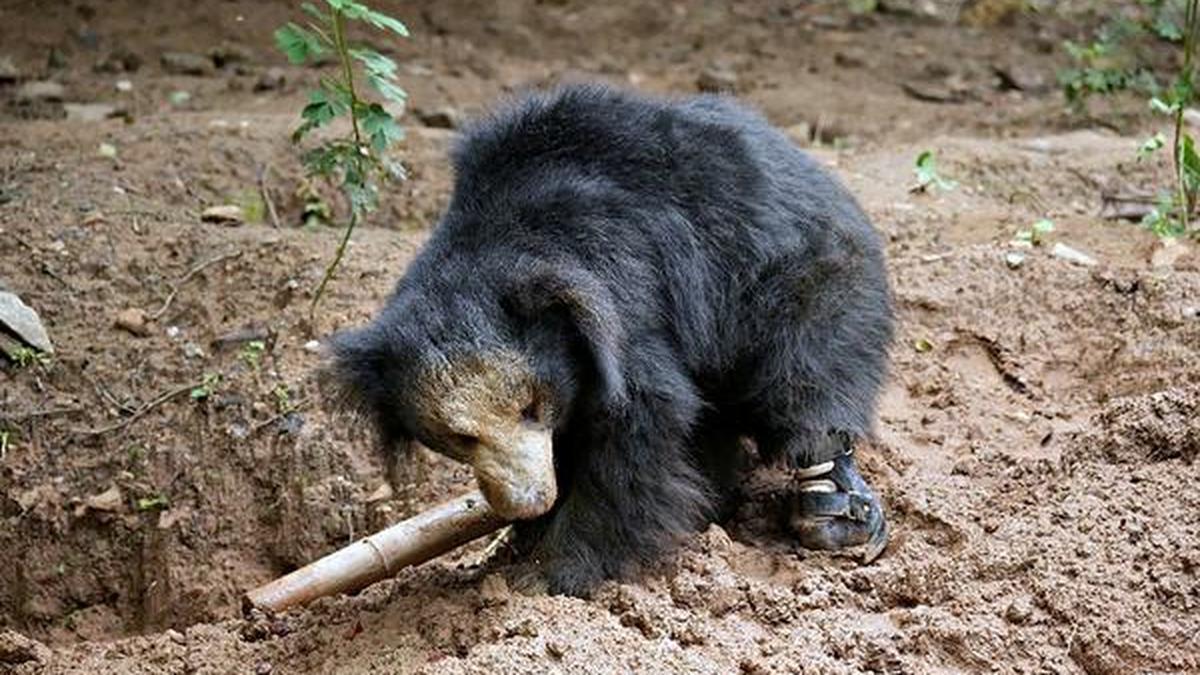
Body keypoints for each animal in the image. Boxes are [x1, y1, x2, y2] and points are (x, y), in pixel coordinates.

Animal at [328, 83, 894, 596]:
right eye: (459, 437)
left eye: (531, 408)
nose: (529, 500)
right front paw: (523, 540)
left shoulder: (626, 302)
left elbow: (639, 423)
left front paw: (551, 573)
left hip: (797, 280)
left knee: (807, 380)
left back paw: (831, 514)